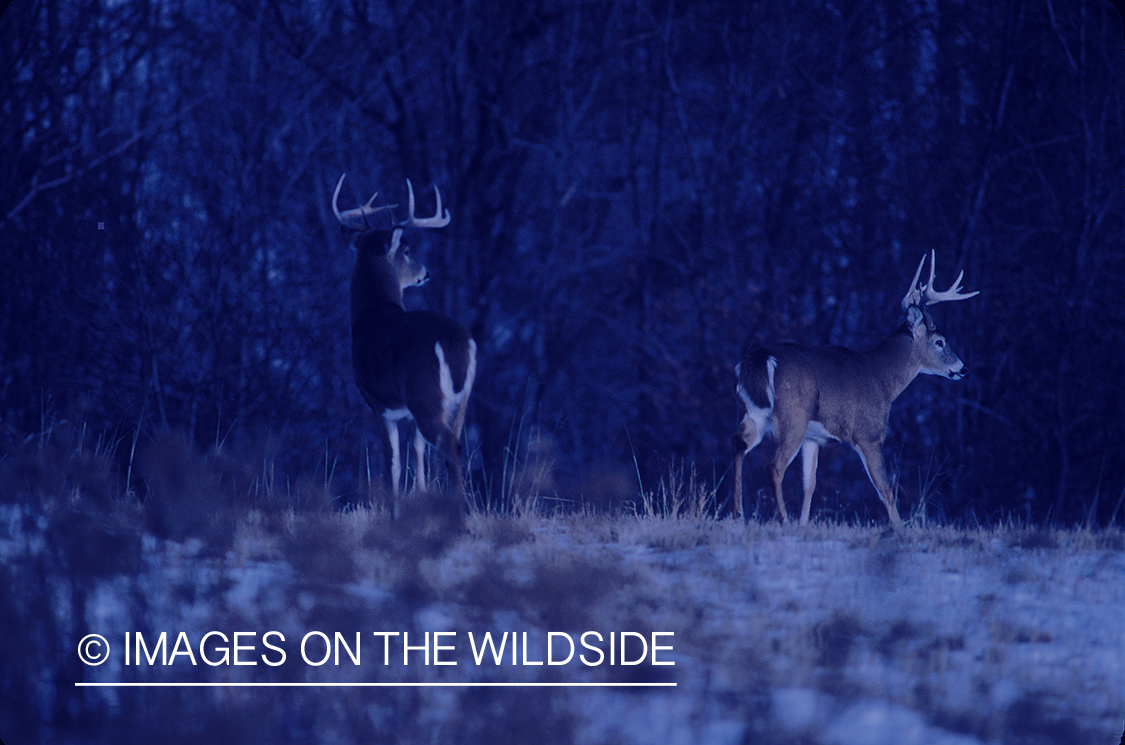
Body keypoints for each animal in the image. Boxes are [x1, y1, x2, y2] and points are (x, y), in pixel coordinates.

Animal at [330, 175, 477, 501]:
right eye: (408, 251)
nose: (426, 273)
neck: (371, 313)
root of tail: (456, 344)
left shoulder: (378, 403)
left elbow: (392, 465)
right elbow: (418, 454)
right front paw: (421, 498)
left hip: (424, 393)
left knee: (450, 447)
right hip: (458, 401)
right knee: (453, 445)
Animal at [729, 254, 976, 528]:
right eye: (939, 341)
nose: (962, 368)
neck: (883, 378)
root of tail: (761, 357)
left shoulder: (813, 437)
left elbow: (809, 485)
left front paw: (804, 524)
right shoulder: (869, 432)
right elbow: (886, 489)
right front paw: (899, 528)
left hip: (752, 411)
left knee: (738, 444)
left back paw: (738, 513)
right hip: (793, 416)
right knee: (774, 466)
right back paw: (782, 519)